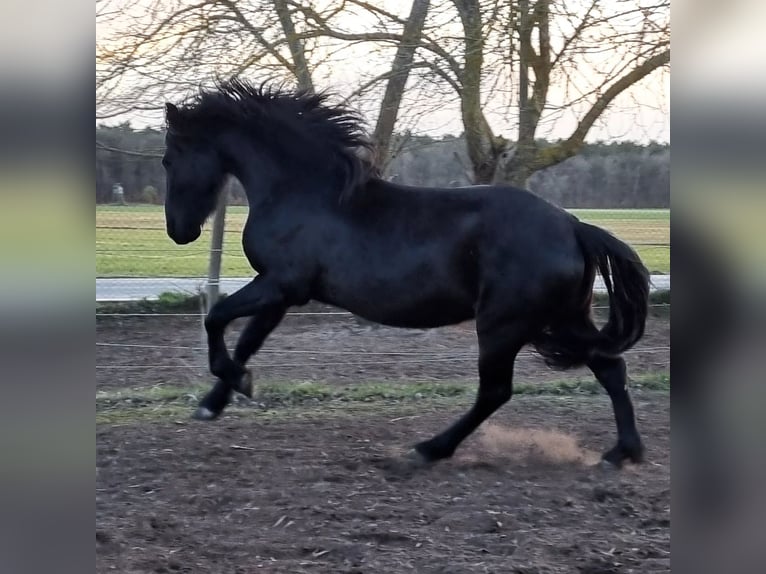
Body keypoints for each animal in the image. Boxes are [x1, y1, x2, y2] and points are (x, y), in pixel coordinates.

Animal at [161, 79, 650, 467]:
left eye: (168, 159)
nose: (179, 231)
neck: (304, 192)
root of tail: (573, 226)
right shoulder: (283, 294)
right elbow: (247, 341)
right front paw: (217, 400)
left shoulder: (279, 284)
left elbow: (216, 319)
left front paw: (233, 386)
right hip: (562, 319)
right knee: (611, 368)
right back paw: (621, 453)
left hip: (504, 324)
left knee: (496, 391)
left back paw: (428, 450)